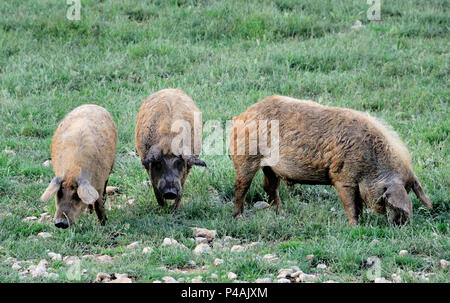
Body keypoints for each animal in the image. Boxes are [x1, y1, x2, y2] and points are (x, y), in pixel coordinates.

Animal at [229, 95, 432, 226]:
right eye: (388, 199)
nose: (402, 224)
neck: (371, 164)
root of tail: (241, 115)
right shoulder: (343, 178)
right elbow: (351, 204)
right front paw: (355, 226)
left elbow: (358, 204)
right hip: (247, 156)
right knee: (241, 186)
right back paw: (238, 217)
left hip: (270, 167)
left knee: (269, 187)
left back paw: (283, 215)